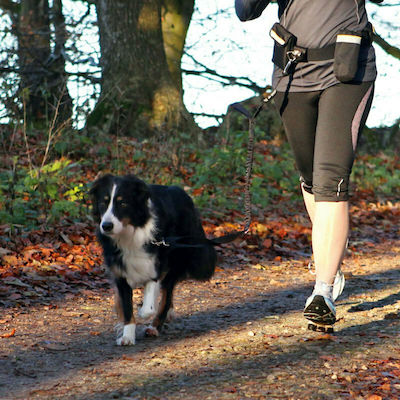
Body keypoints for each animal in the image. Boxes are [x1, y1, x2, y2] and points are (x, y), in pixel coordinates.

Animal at [90, 173, 216, 346]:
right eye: (103, 202)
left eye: (123, 203)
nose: (106, 226)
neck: (129, 234)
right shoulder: (120, 271)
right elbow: (126, 306)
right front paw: (127, 335)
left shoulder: (158, 264)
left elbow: (149, 304)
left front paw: (144, 313)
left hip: (178, 259)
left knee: (167, 296)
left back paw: (155, 326)